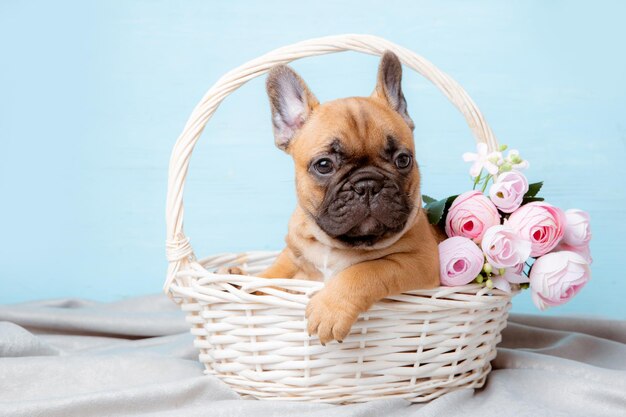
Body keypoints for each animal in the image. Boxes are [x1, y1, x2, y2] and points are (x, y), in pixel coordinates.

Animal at [258, 51, 438, 344]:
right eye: (323, 165)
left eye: (403, 160)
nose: (367, 185)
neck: (336, 246)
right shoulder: (292, 252)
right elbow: (273, 273)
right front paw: (244, 283)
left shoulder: (421, 260)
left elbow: (367, 270)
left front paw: (329, 310)